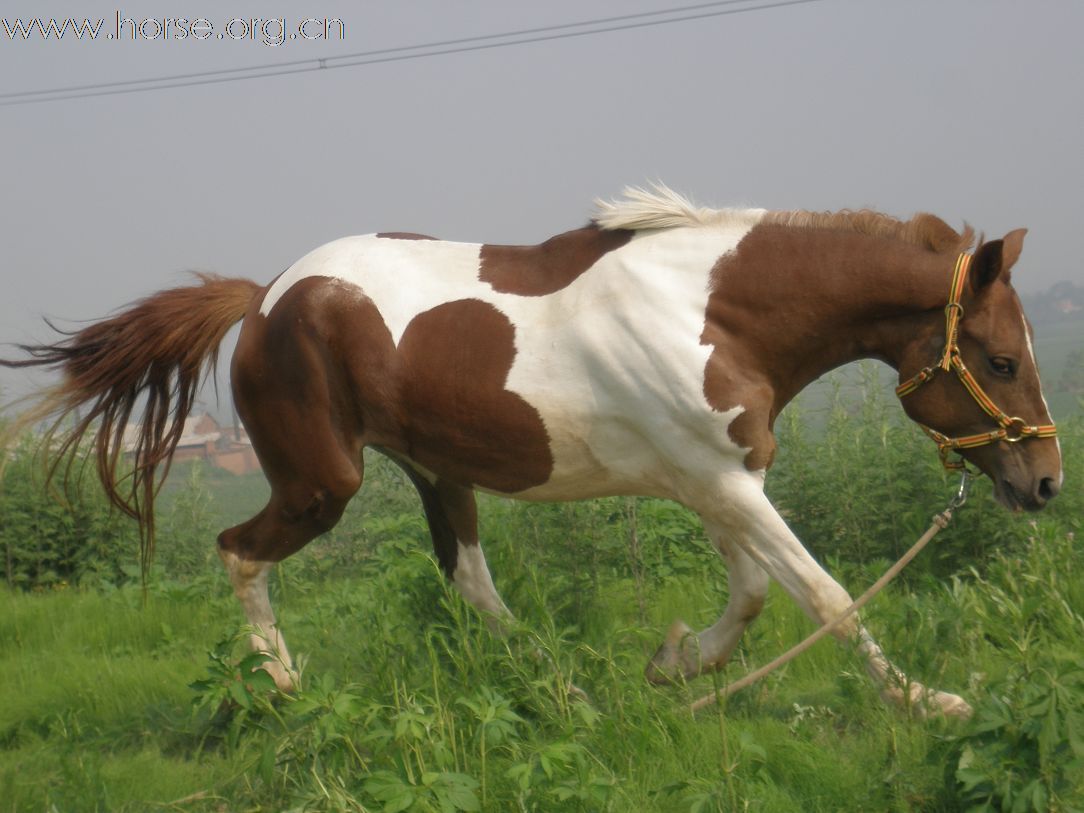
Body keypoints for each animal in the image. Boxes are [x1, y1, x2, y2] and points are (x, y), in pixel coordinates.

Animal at [0, 186, 1062, 719]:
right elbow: (826, 597)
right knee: (238, 550)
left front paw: (673, 665)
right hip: (322, 482)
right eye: (1002, 359)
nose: (1045, 481)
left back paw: (571, 691)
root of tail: (261, 299)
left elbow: (757, 593)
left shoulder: (716, 479)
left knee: (471, 581)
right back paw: (286, 687)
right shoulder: (719, 482)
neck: (711, 309)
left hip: (438, 472)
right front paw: (931, 701)